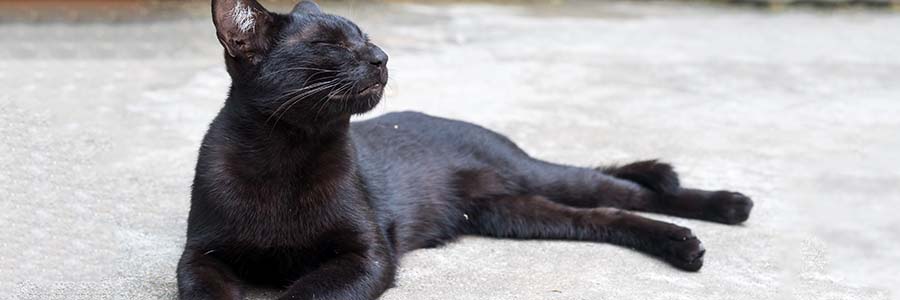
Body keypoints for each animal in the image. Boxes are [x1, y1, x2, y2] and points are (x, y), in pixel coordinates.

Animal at [176, 1, 752, 298]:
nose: (381, 56)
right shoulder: (200, 255)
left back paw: (726, 208)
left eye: (365, 36)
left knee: (629, 191)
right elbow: (203, 292)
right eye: (328, 45)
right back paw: (685, 242)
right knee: (604, 215)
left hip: (539, 179)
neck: (287, 156)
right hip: (514, 213)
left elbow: (304, 293)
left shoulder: (367, 254)